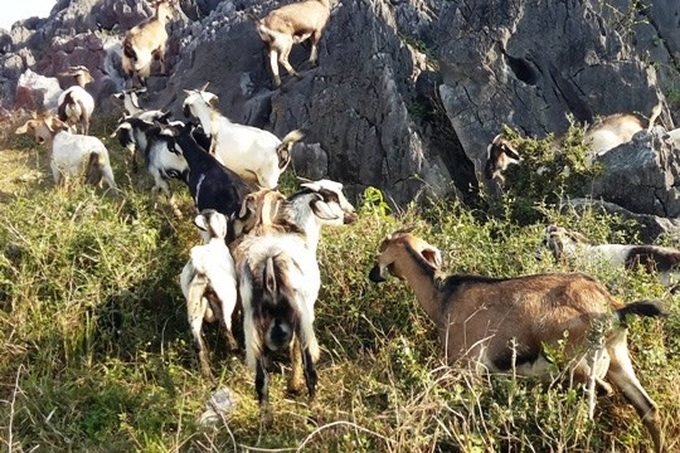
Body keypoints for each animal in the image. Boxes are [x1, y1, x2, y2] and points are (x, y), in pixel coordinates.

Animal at [180, 209, 239, 378]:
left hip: (194, 310)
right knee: (227, 331)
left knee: (199, 345)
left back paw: (208, 376)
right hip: (226, 301)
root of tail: (202, 272)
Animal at [237, 179, 357, 424]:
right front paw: (294, 386)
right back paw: (315, 409)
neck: (299, 233)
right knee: (310, 365)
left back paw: (266, 420)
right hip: (301, 317)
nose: (353, 214)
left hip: (253, 324)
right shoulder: (307, 310)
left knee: (261, 379)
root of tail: (269, 263)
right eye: (334, 196)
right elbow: (296, 351)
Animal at [369, 230, 666, 452]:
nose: (373, 274)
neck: (443, 295)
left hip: (579, 361)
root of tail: (613, 308)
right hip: (618, 360)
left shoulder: (466, 366)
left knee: (594, 400)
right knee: (649, 409)